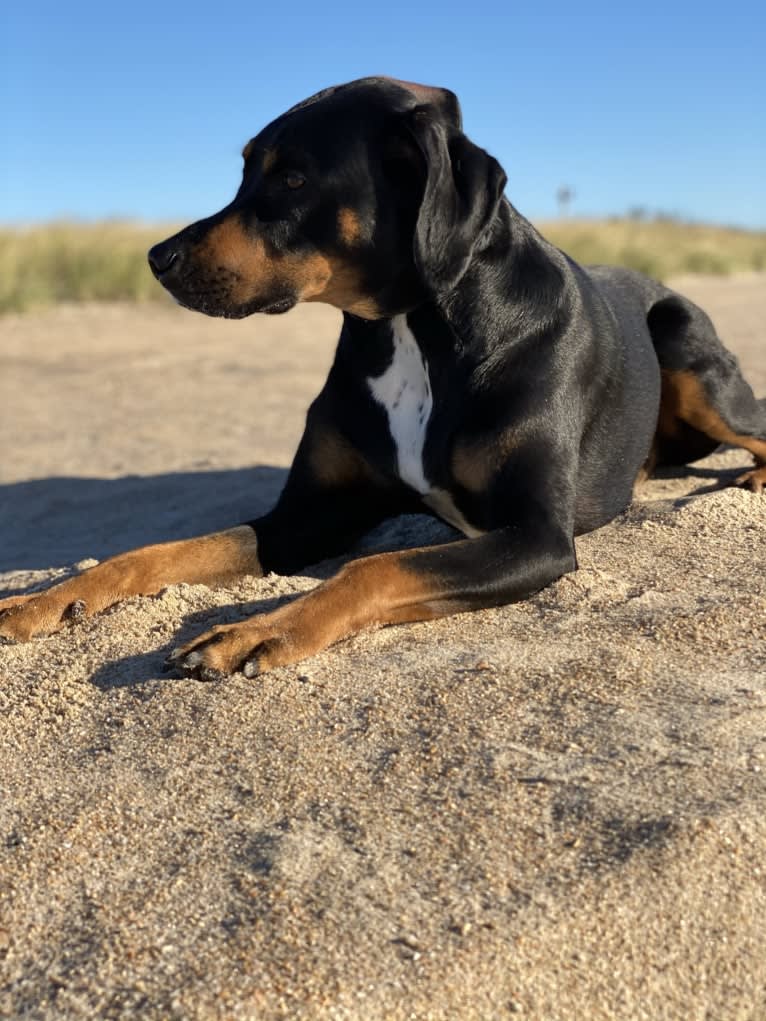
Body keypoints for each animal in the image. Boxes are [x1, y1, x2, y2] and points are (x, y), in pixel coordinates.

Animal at [1, 79, 766, 677]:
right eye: (246, 171)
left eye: (293, 179)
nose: (158, 257)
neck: (411, 329)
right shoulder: (303, 519)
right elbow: (153, 551)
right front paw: (46, 599)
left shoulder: (536, 536)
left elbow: (375, 566)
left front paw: (259, 629)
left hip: (688, 349)